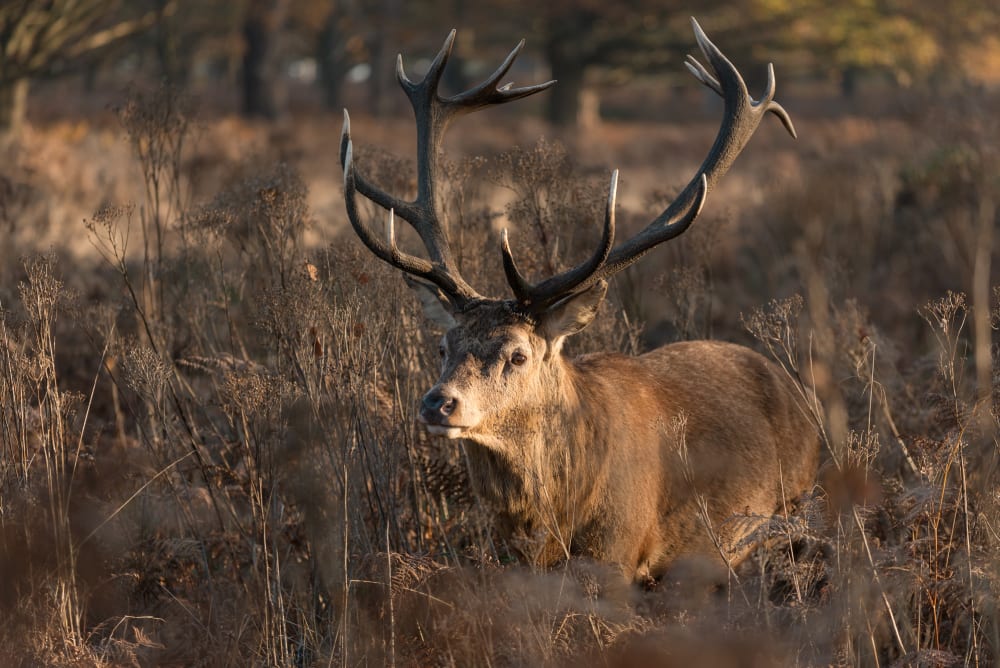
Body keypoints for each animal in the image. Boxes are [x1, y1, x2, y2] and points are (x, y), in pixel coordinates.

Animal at [340, 18, 816, 580]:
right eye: (442, 346)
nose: (438, 403)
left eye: (517, 355)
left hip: (791, 511)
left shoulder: (618, 551)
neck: (552, 526)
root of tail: (800, 399)